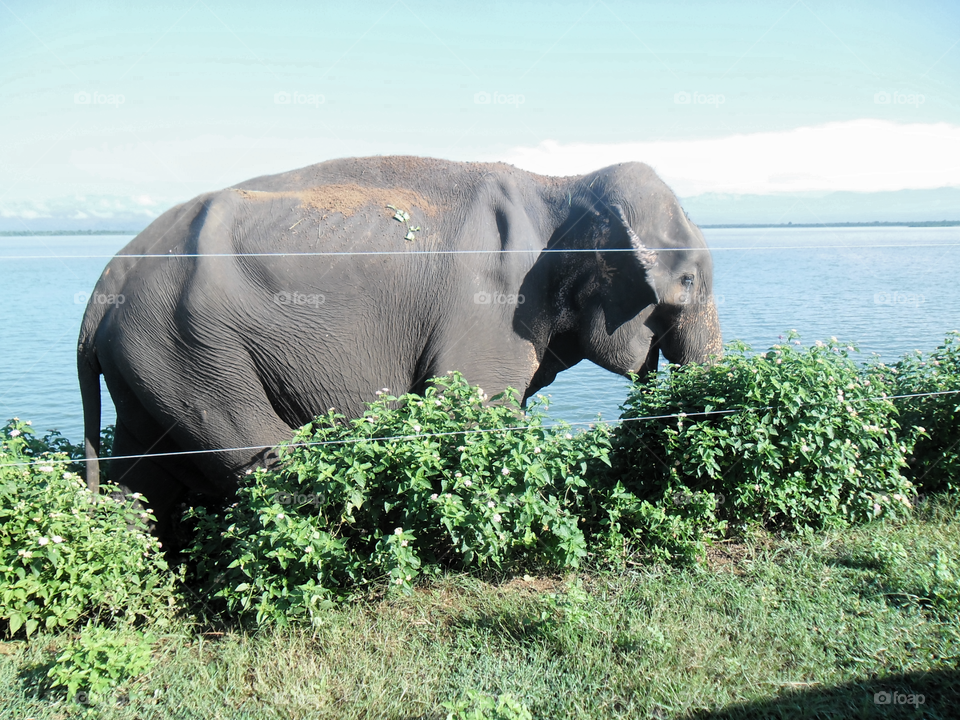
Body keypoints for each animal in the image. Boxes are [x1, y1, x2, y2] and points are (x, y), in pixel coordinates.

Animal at [77, 158, 720, 540]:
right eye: (688, 281)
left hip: (149, 363)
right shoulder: (491, 306)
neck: (560, 185)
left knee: (142, 476)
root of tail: (99, 296)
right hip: (192, 350)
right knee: (262, 458)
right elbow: (475, 411)